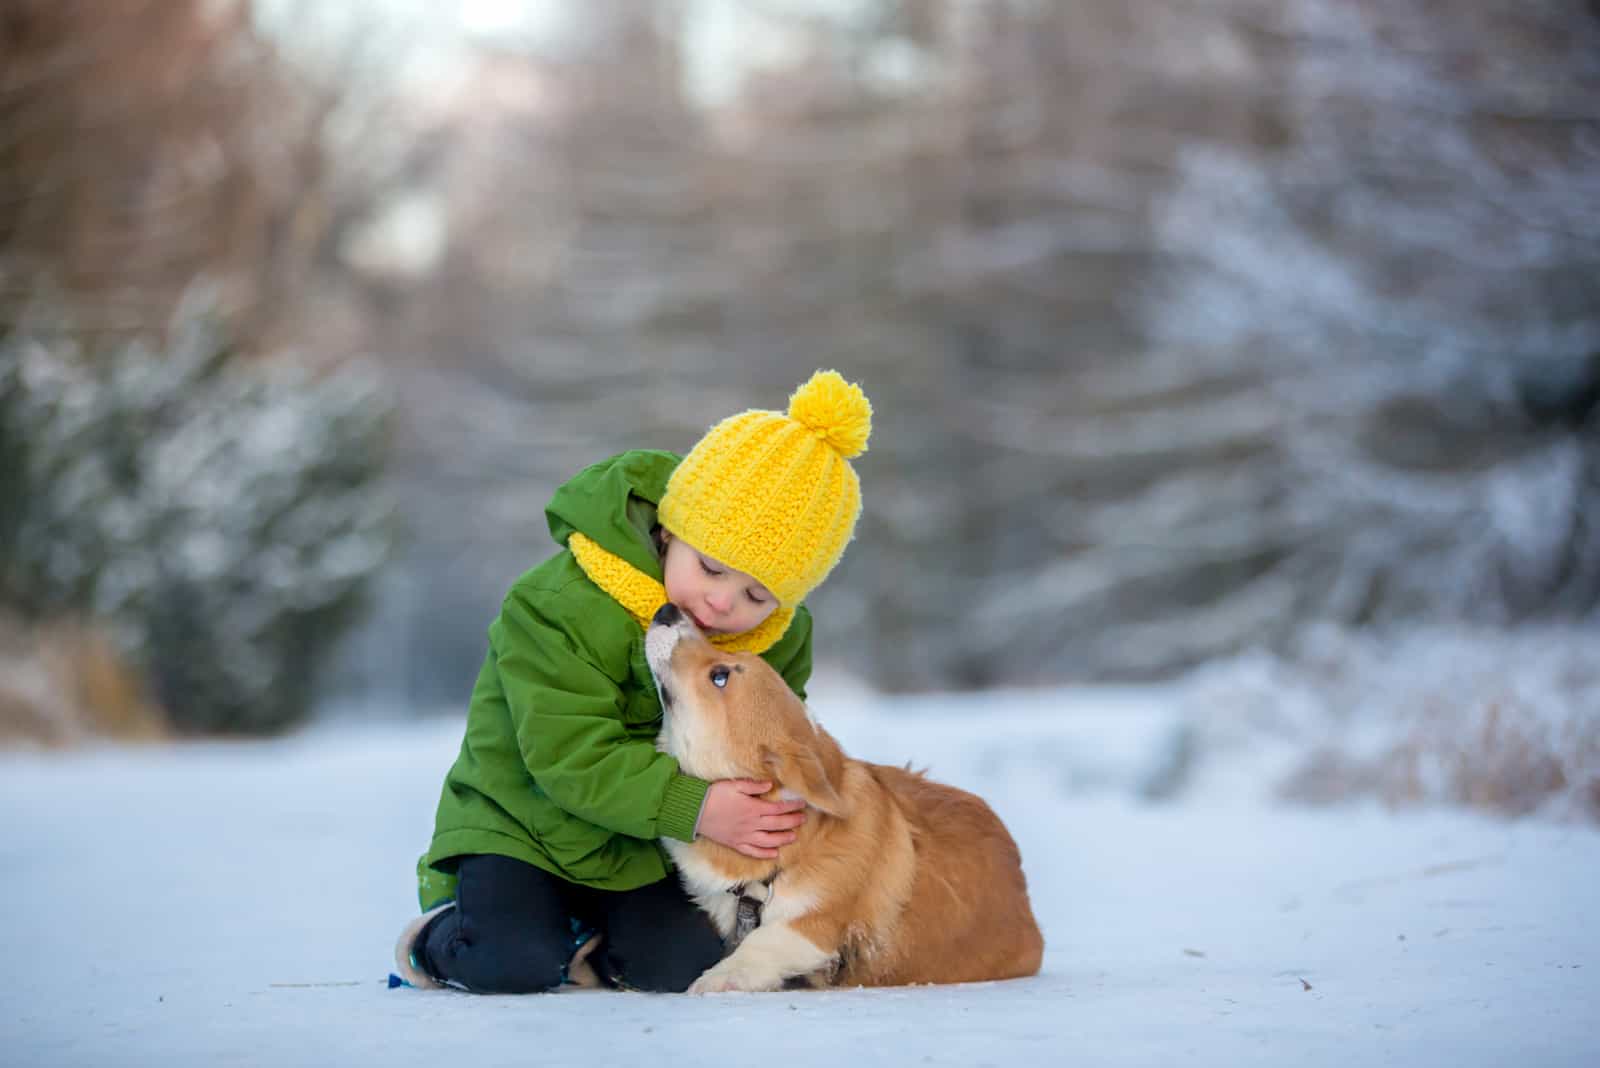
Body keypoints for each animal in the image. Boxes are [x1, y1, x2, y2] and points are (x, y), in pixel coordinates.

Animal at [643, 601, 1043, 991]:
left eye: (720, 675)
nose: (668, 609)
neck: (792, 851)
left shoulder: (816, 926)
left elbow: (765, 939)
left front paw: (718, 978)